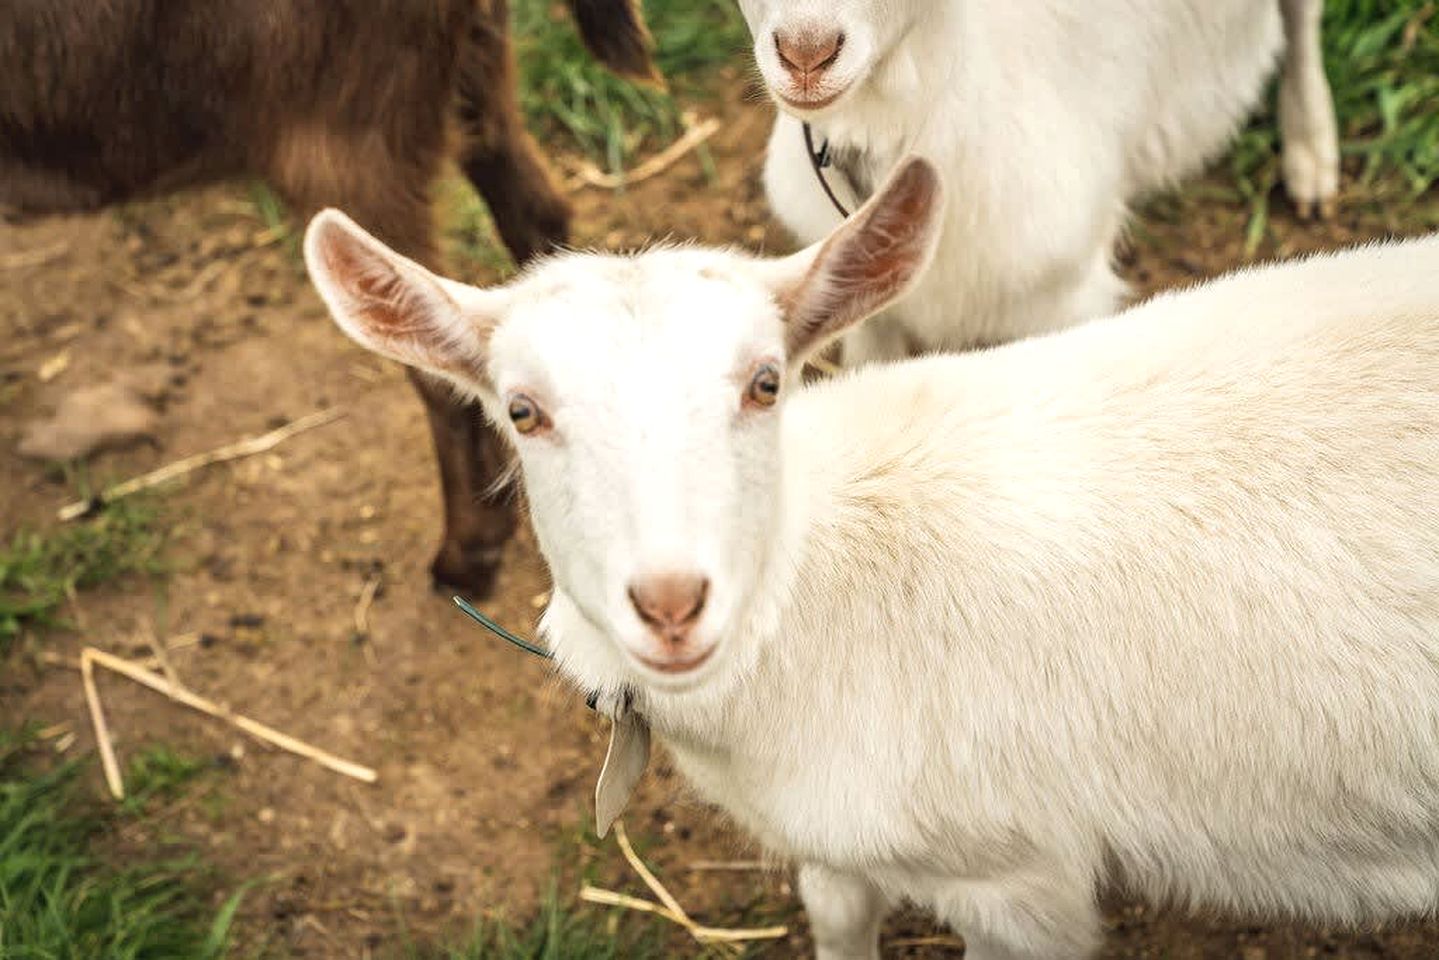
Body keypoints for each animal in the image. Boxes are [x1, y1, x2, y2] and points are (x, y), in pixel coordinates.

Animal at [307, 156, 1439, 959]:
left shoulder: (1019, 883)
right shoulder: (841, 843)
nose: (671, 604)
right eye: (522, 412)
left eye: (766, 382)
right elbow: (836, 912)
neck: (821, 587)